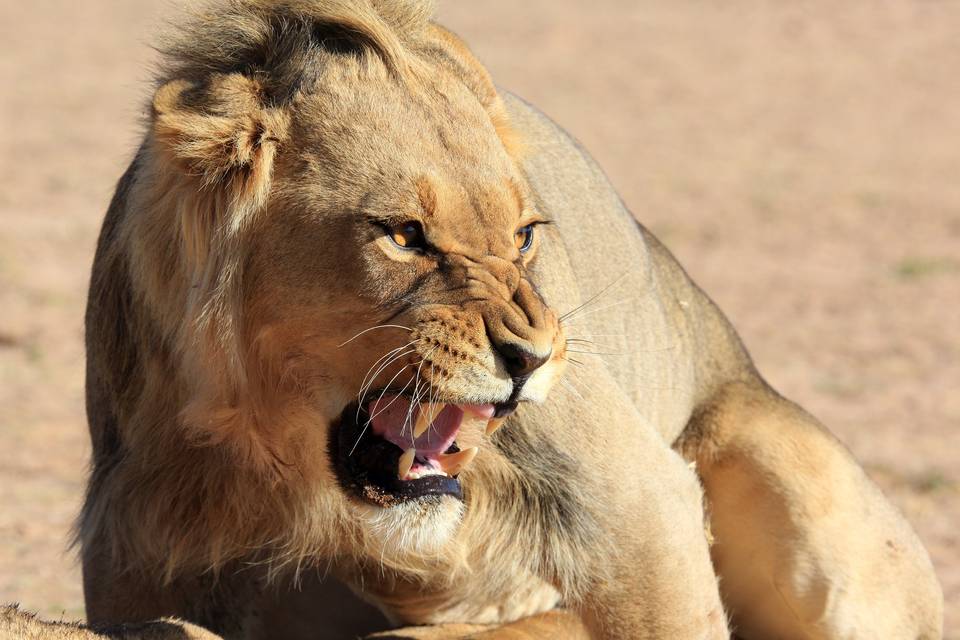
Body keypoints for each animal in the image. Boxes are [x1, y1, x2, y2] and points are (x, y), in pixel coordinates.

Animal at [63, 0, 943, 638]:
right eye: (404, 236)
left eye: (522, 236)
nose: (532, 359)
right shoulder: (134, 550)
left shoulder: (635, 503)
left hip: (774, 463)